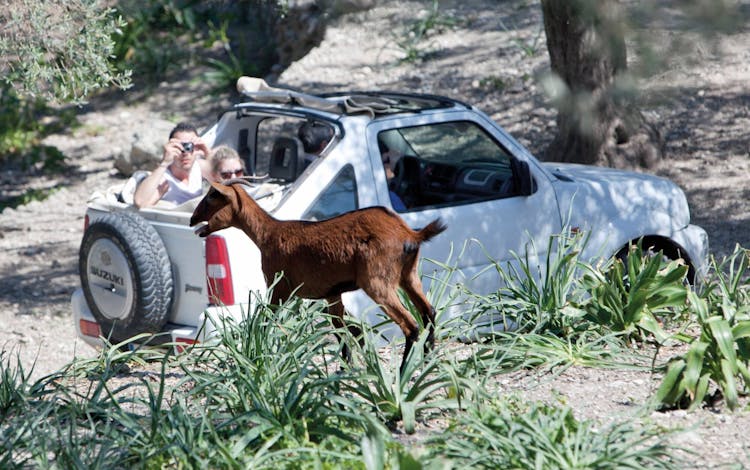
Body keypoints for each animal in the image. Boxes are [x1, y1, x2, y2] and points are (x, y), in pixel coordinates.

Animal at [191, 182, 446, 370]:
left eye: (212, 197)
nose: (192, 219)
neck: (268, 234)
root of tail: (410, 234)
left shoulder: (280, 287)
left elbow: (266, 321)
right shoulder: (332, 293)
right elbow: (347, 329)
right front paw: (350, 369)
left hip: (377, 282)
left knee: (411, 325)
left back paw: (404, 372)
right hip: (408, 276)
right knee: (429, 312)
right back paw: (426, 361)